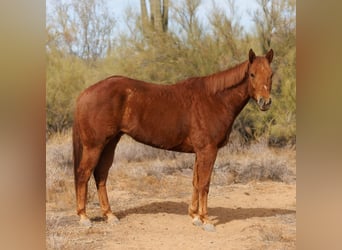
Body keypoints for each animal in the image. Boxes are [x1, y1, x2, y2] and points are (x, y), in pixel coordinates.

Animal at [73, 48, 274, 230]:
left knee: (100, 175)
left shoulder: (199, 152)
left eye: (271, 74)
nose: (265, 102)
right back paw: (83, 218)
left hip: (110, 143)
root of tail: (85, 93)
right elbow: (205, 184)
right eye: (252, 74)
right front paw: (206, 220)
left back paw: (109, 215)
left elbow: (195, 182)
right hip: (94, 145)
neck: (214, 99)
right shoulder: (208, 150)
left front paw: (194, 216)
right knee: (83, 174)